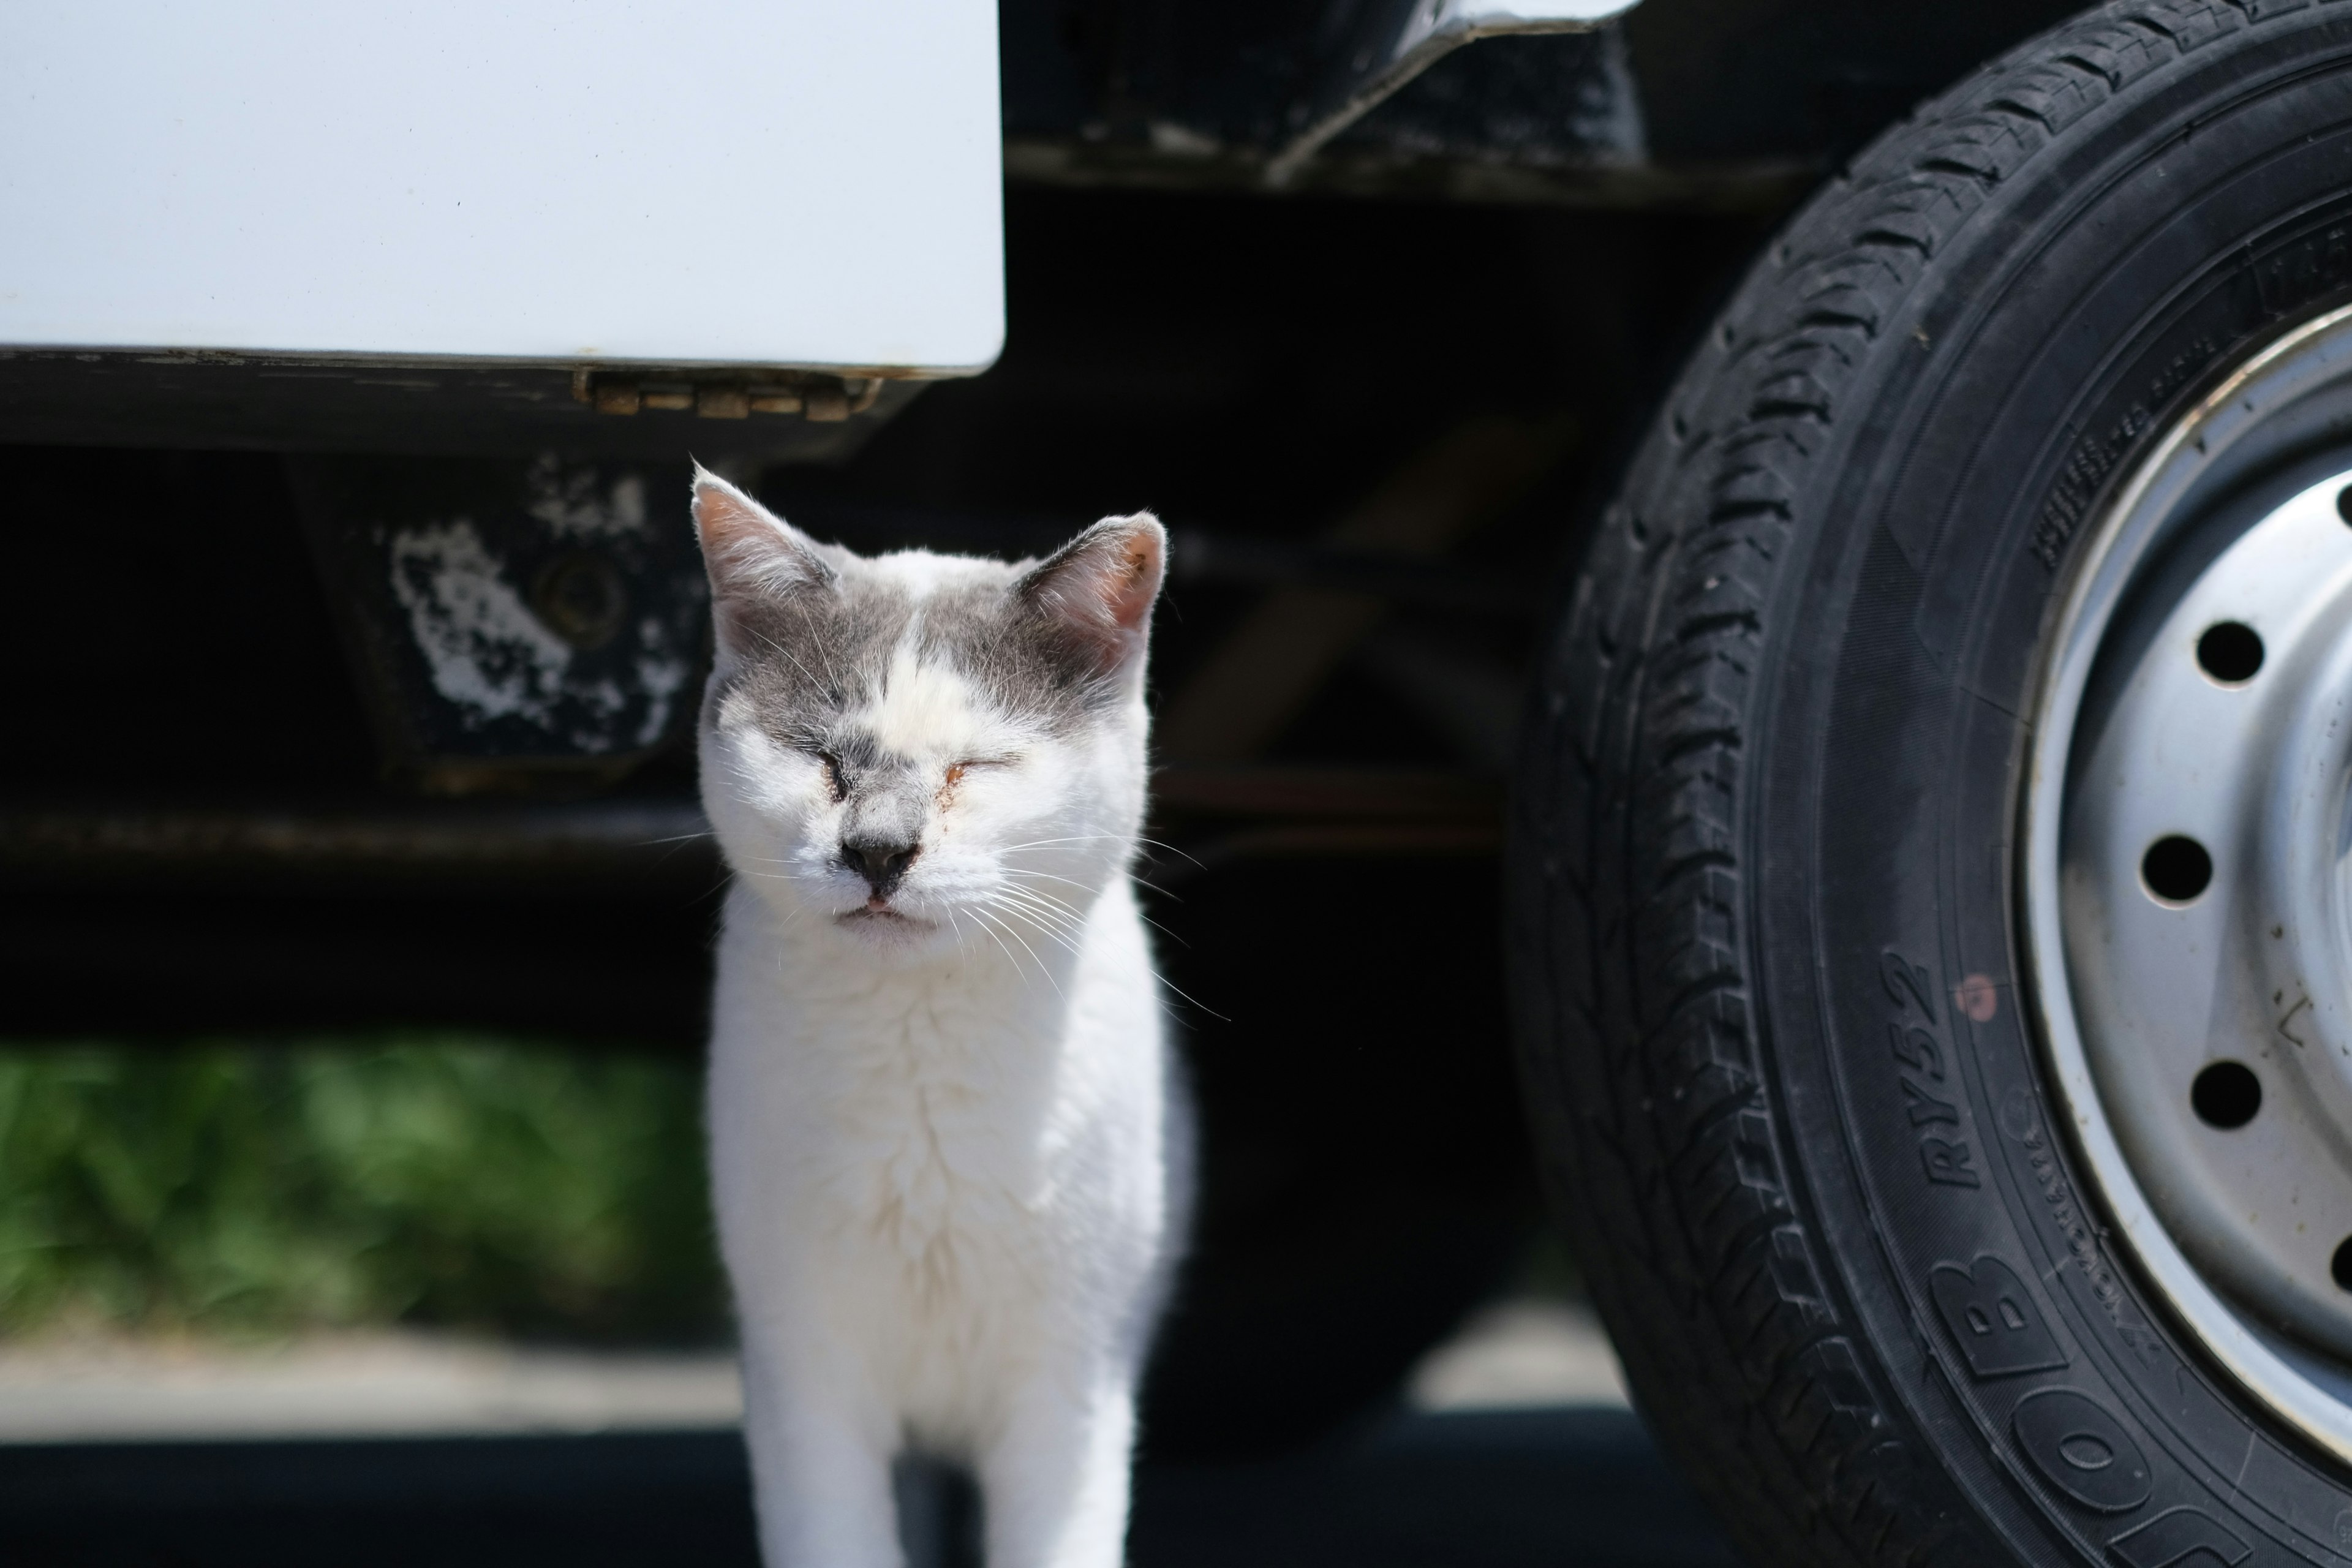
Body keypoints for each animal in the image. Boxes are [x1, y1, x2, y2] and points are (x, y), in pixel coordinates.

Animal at [687, 470, 1185, 1568]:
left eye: (977, 767)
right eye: (824, 761)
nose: (878, 849)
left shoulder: (1072, 1385)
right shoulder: (801, 1370)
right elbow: (833, 1537)